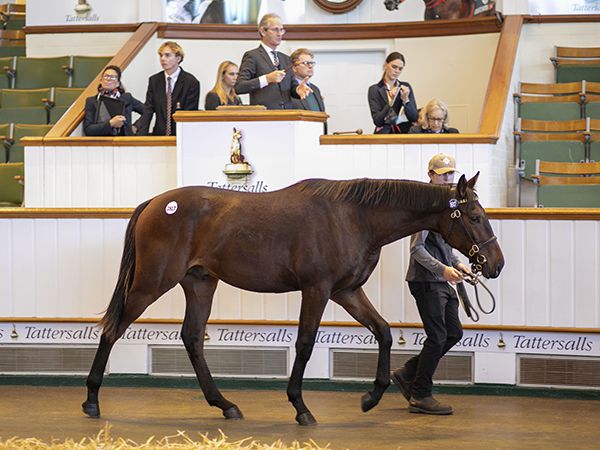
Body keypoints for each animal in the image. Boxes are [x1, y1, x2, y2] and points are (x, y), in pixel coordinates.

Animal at [82, 175, 504, 426]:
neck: (354, 218)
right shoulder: (317, 290)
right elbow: (304, 344)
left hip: (200, 284)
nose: (495, 264)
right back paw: (91, 401)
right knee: (113, 330)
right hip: (152, 283)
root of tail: (155, 203)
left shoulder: (346, 291)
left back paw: (225, 404)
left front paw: (371, 397)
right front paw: (301, 407)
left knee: (192, 338)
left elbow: (383, 332)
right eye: (475, 217)